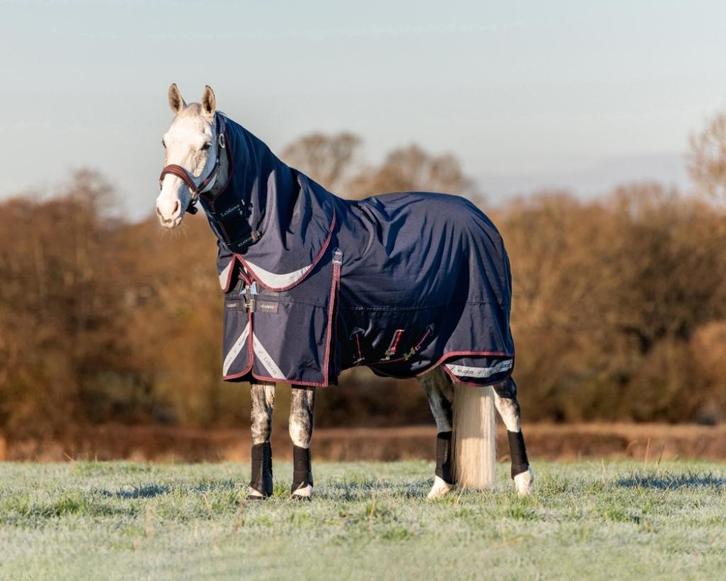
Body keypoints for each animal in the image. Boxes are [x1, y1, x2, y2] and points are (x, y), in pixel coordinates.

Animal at [155, 84, 533, 500]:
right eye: (166, 142)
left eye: (206, 144)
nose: (167, 209)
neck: (272, 239)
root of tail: (484, 222)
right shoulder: (255, 354)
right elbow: (260, 422)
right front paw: (258, 492)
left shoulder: (304, 353)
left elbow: (299, 422)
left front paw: (301, 490)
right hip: (427, 353)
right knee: (444, 411)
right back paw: (439, 489)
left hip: (484, 347)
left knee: (507, 401)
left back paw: (524, 484)